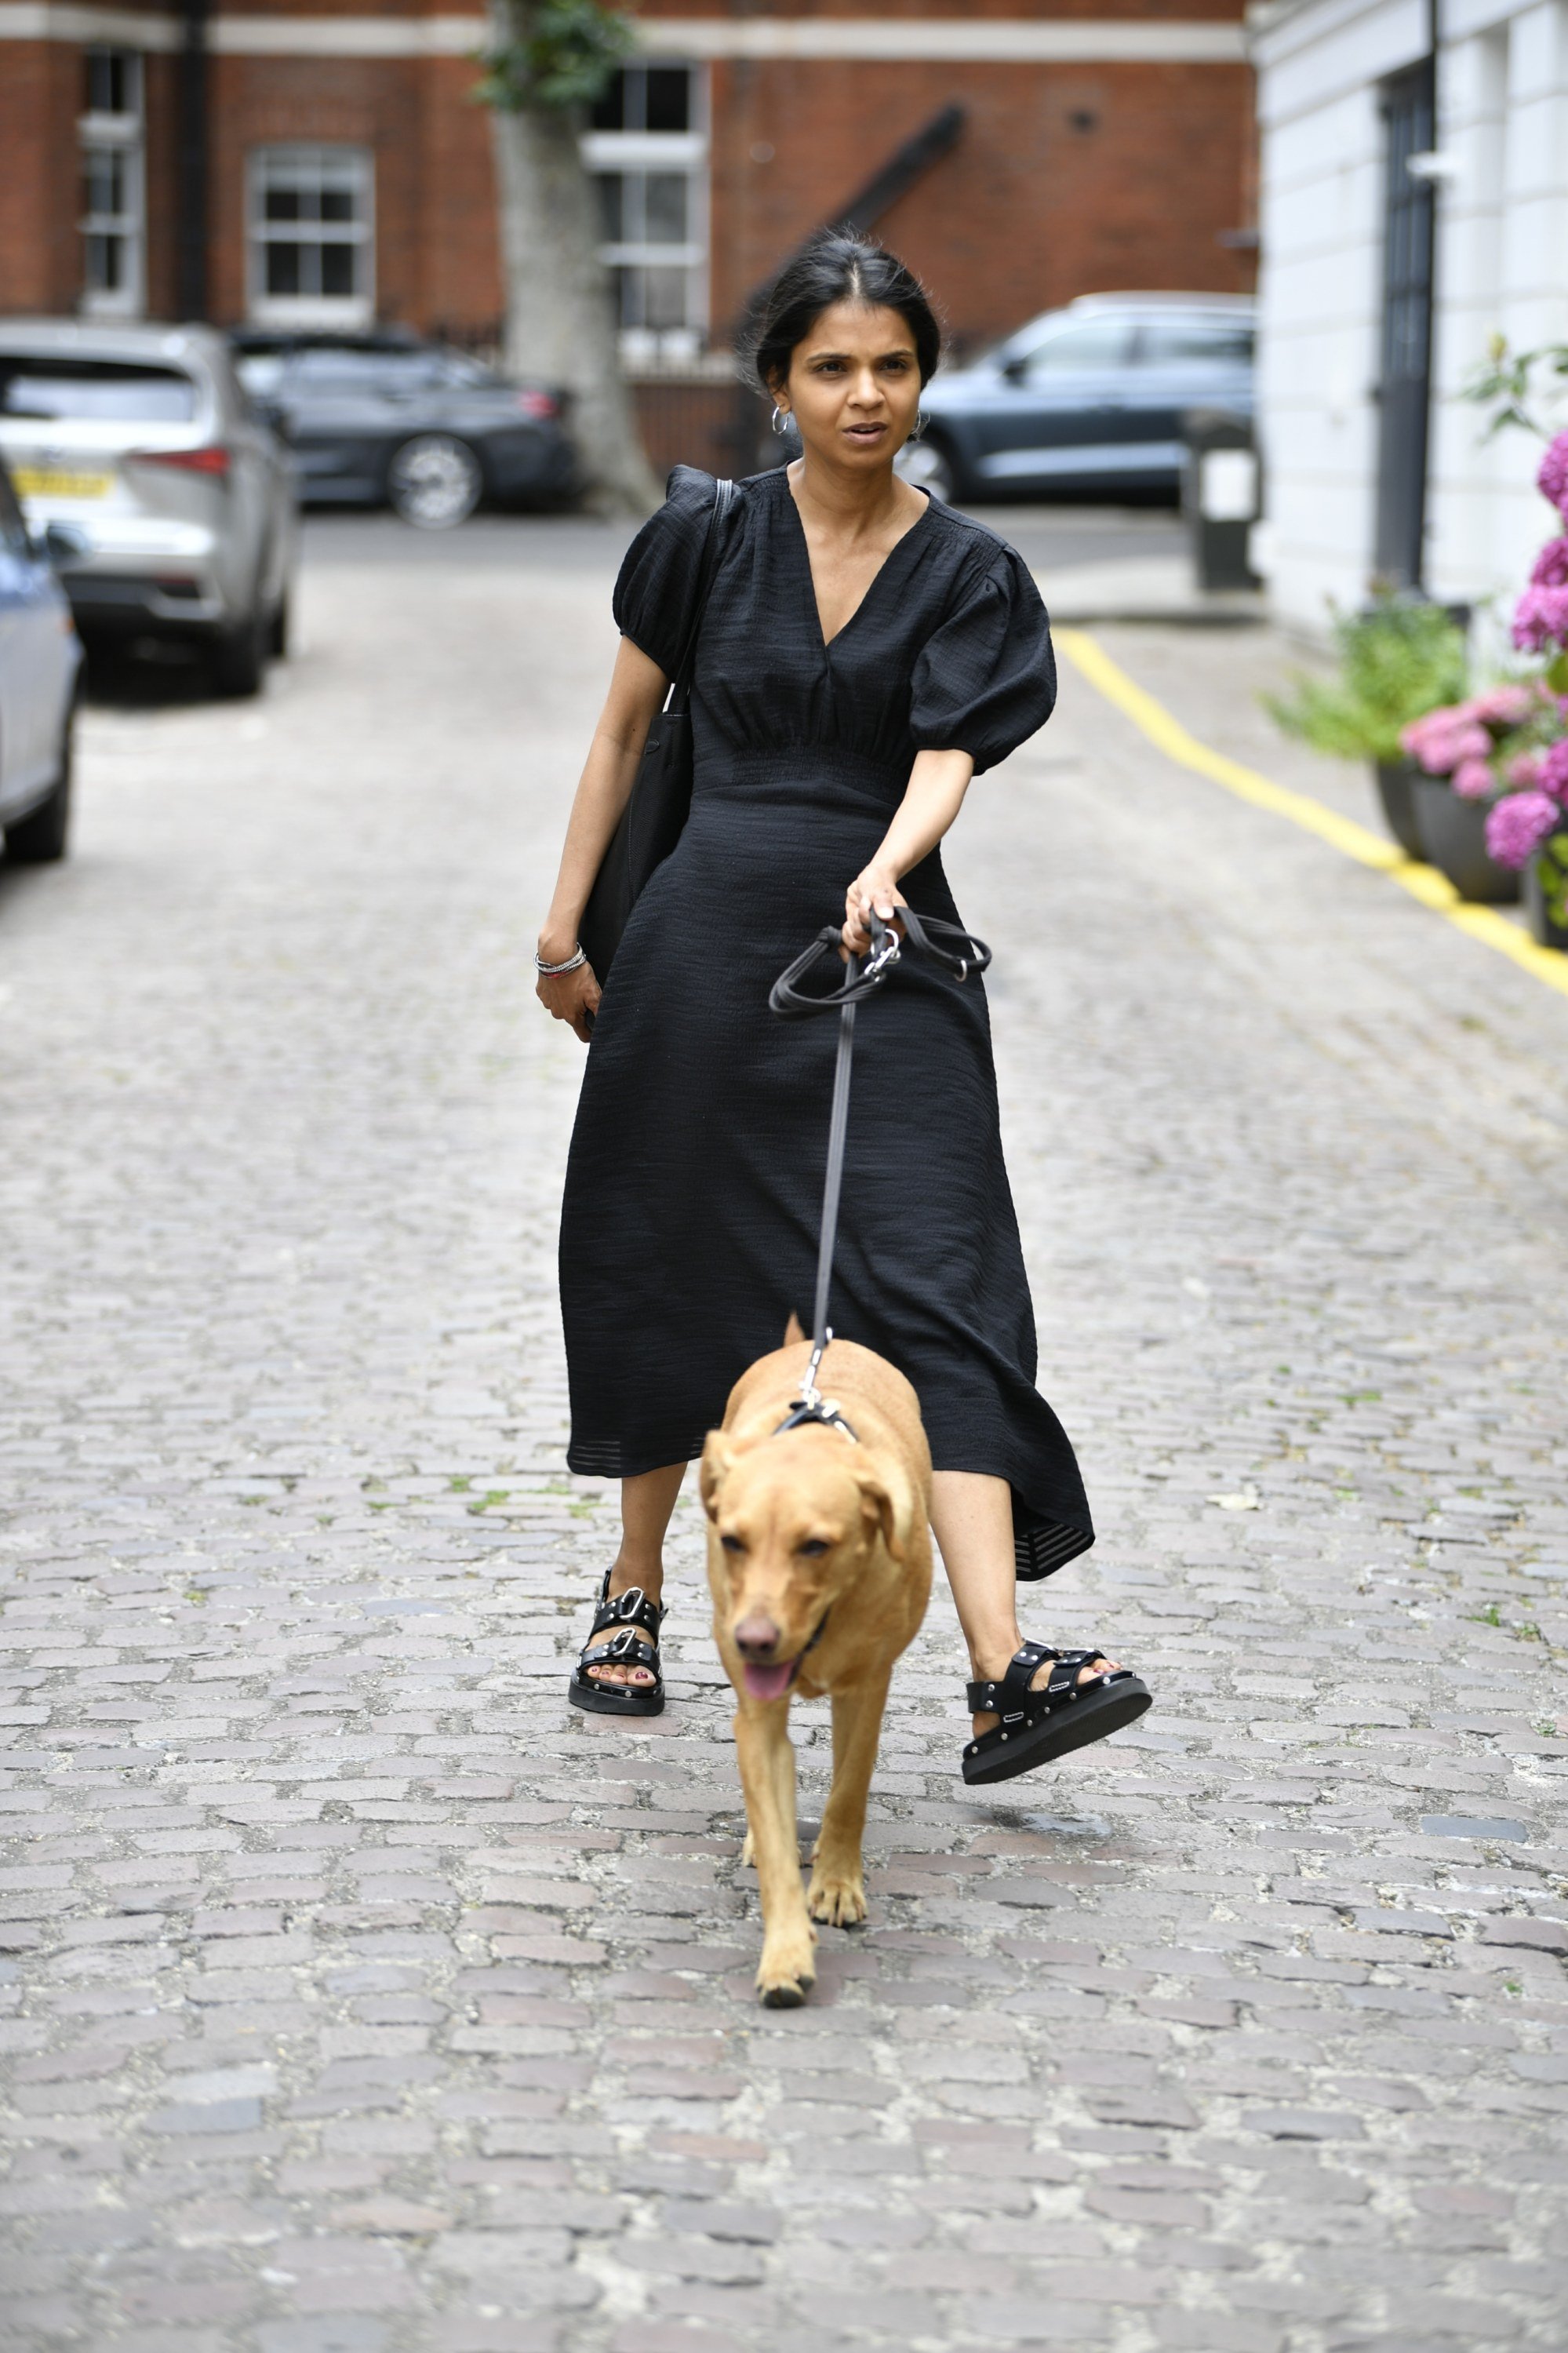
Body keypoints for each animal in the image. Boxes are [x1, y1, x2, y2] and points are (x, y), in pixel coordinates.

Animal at [700, 1327, 930, 2005]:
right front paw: (784, 1952)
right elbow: (777, 1843)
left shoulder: (867, 1690)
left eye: (815, 1546)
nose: (752, 1640)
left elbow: (848, 1791)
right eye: (732, 1541)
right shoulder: (756, 1715)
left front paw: (834, 1882)